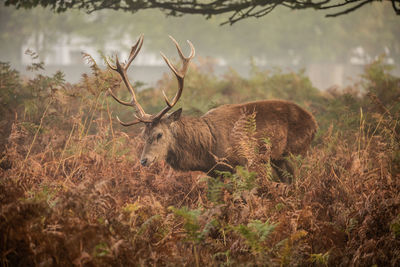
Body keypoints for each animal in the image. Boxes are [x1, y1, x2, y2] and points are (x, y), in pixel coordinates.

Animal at [107, 35, 318, 182]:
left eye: (159, 134)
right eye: (143, 134)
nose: (143, 160)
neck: (207, 151)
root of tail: (314, 123)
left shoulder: (240, 164)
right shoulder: (218, 174)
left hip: (295, 153)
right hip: (278, 159)